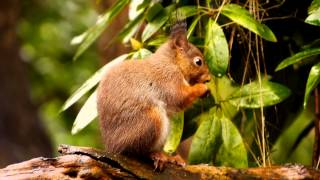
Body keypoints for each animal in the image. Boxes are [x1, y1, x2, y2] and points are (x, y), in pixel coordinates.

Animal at [96, 22, 211, 169]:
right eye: (198, 62)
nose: (208, 79)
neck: (172, 62)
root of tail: (112, 146)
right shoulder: (168, 78)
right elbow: (179, 97)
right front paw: (201, 88)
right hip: (151, 120)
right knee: (135, 150)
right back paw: (157, 155)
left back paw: (172, 158)